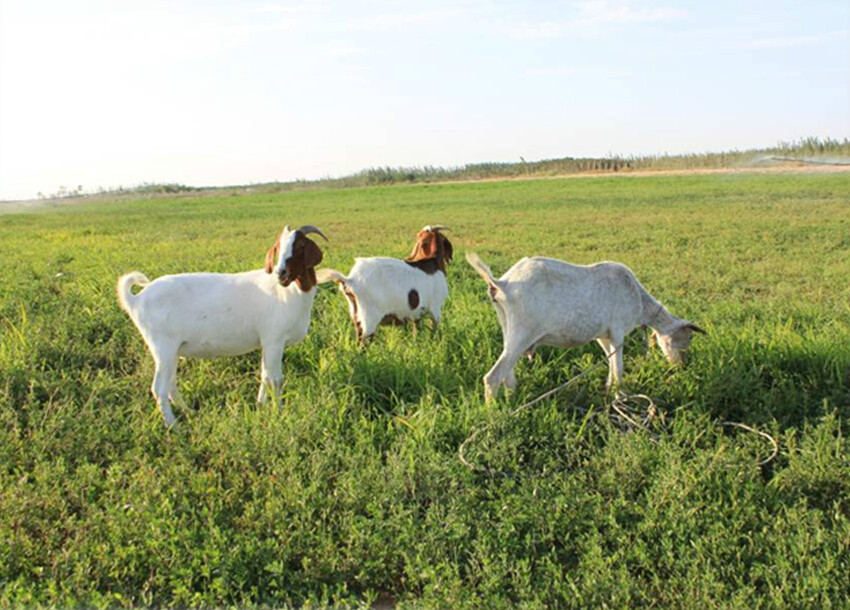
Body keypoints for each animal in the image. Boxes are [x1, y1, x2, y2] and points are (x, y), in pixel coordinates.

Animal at [117, 222, 330, 422]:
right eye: (278, 247)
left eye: (300, 245)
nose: (280, 273)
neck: (289, 292)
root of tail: (136, 299)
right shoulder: (274, 341)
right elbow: (275, 379)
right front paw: (279, 412)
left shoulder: (266, 343)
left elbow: (264, 376)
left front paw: (260, 406)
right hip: (162, 346)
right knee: (159, 388)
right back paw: (173, 427)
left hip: (172, 350)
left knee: (170, 384)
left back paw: (188, 412)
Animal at [320, 226, 450, 344]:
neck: (433, 262)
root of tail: (350, 280)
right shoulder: (435, 308)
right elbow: (434, 328)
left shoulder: (415, 313)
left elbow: (416, 330)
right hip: (369, 317)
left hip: (356, 316)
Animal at [464, 252, 704, 400]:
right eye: (687, 338)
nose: (680, 367)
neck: (640, 301)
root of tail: (501, 284)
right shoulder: (618, 331)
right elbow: (619, 366)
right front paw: (621, 396)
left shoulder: (603, 336)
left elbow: (610, 362)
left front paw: (609, 390)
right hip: (523, 331)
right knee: (493, 377)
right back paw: (495, 415)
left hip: (507, 325)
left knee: (508, 372)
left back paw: (513, 399)